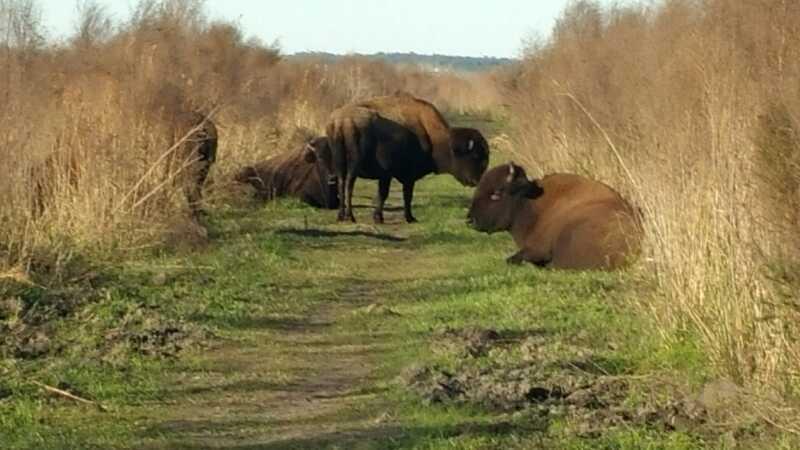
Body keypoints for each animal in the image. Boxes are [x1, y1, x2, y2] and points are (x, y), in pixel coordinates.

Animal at [324, 92, 489, 223]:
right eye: (475, 155)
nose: (477, 180)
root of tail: (342, 121)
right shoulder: (400, 176)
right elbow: (400, 195)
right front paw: (406, 218)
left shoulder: (389, 176)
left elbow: (388, 194)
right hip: (354, 165)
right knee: (349, 185)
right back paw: (350, 216)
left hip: (340, 163)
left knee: (341, 183)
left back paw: (341, 216)